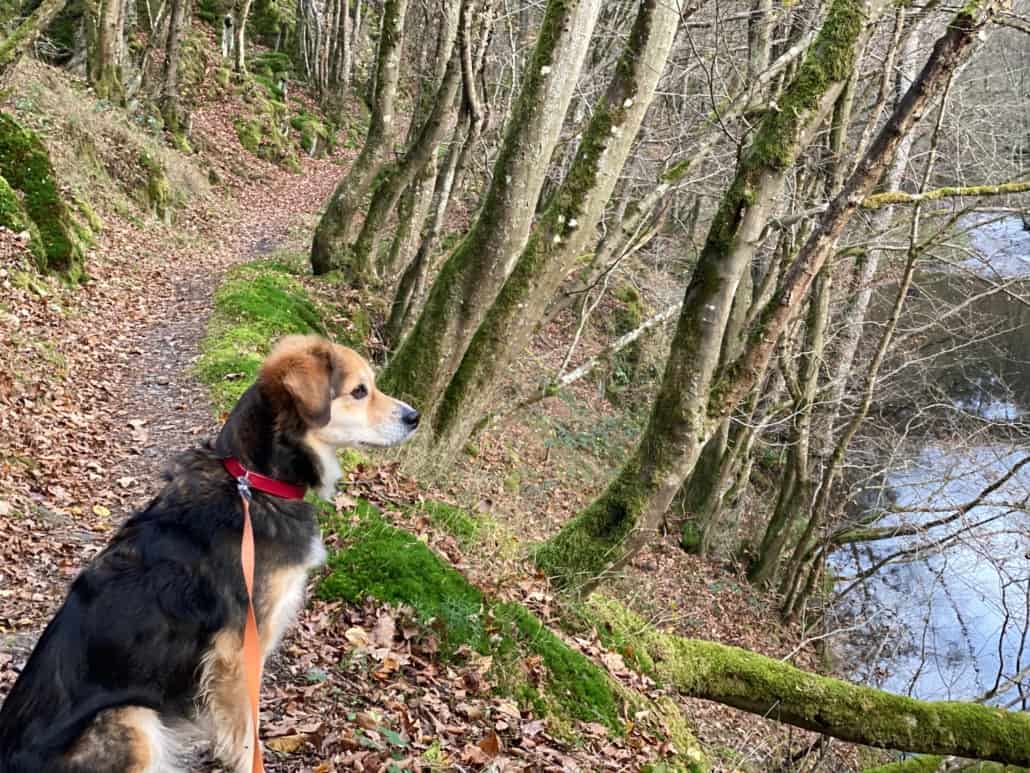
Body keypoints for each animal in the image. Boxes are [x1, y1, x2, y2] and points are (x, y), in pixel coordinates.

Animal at [1, 335, 418, 773]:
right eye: (360, 391)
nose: (416, 417)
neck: (255, 483)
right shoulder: (238, 652)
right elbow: (247, 735)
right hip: (132, 718)